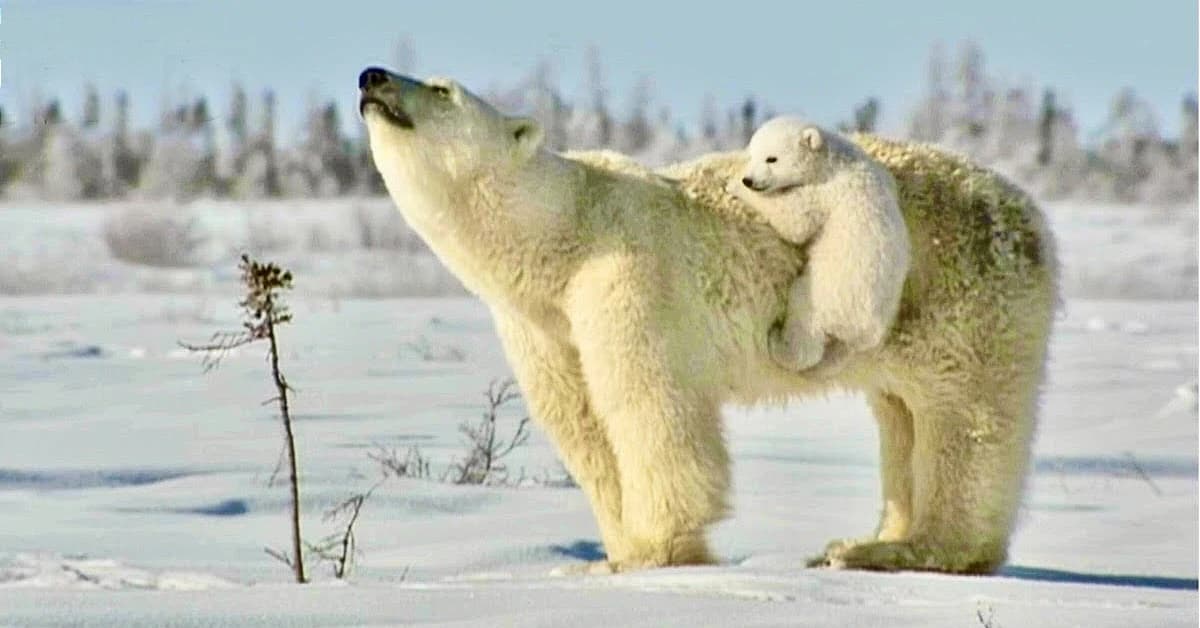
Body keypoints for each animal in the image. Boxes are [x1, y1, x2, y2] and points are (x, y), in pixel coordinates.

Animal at [729, 116, 907, 374]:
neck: (835, 161)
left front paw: (734, 185)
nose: (749, 180)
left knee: (805, 321)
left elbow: (796, 220)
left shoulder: (828, 190)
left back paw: (778, 343)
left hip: (826, 293)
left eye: (771, 158)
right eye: (753, 154)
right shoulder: (879, 172)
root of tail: (866, 329)